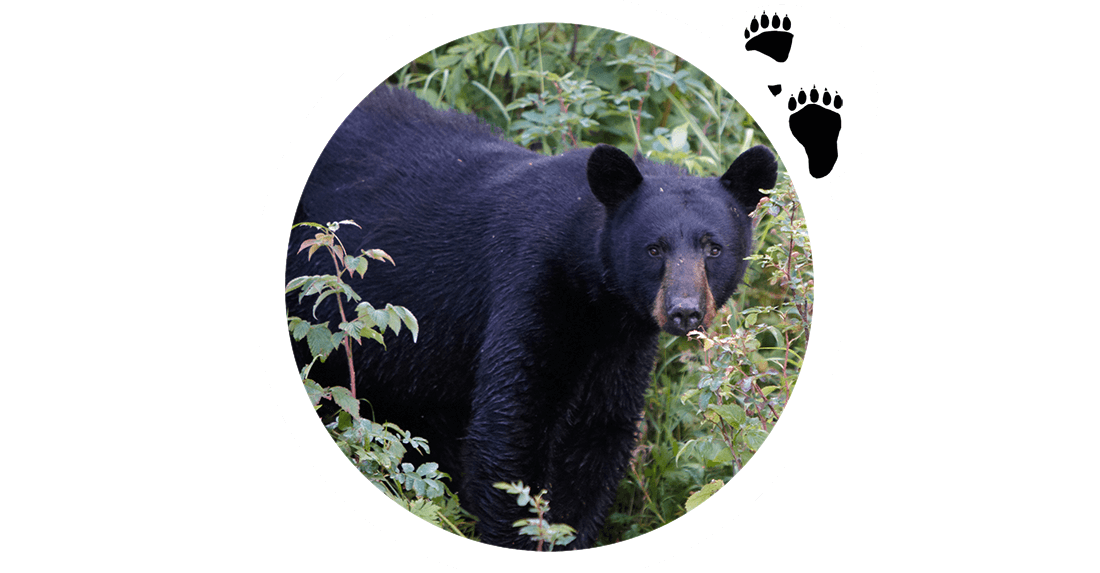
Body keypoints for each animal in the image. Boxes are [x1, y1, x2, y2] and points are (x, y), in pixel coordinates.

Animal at [286, 86, 778, 550]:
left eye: (713, 248)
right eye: (653, 249)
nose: (684, 310)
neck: (594, 293)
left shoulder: (619, 342)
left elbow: (597, 435)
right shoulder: (529, 285)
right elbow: (512, 431)